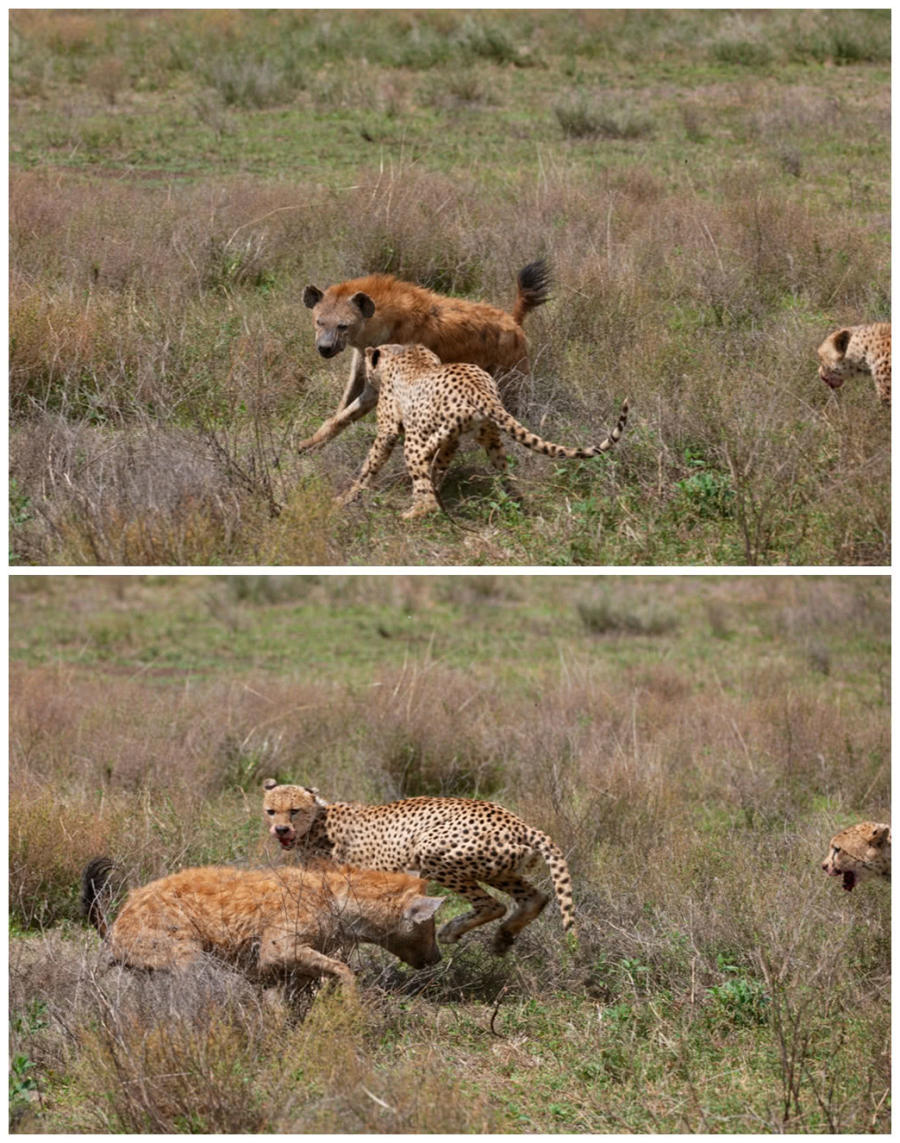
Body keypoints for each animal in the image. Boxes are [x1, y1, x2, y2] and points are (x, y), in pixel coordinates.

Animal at [81, 859, 443, 987]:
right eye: (430, 925)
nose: (438, 958)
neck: (334, 899)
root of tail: (114, 926)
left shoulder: (272, 972)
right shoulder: (278, 947)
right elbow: (343, 970)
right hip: (186, 955)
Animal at [260, 777, 576, 955]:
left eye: (294, 811)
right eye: (271, 811)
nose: (281, 829)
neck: (316, 822)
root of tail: (518, 822)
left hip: (432, 851)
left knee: (493, 905)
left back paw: (453, 931)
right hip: (500, 867)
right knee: (536, 897)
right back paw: (503, 937)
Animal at [299, 261, 548, 452]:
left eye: (343, 326)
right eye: (319, 322)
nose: (324, 347)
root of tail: (513, 322)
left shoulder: (385, 382)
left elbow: (346, 415)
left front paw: (307, 445)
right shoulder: (360, 363)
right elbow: (344, 405)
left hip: (512, 375)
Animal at [338, 338, 626, 518]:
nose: (364, 372)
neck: (399, 352)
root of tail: (480, 388)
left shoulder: (389, 430)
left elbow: (371, 463)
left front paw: (349, 496)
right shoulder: (449, 439)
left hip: (417, 442)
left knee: (422, 477)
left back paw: (415, 512)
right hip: (488, 437)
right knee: (503, 471)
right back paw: (515, 501)